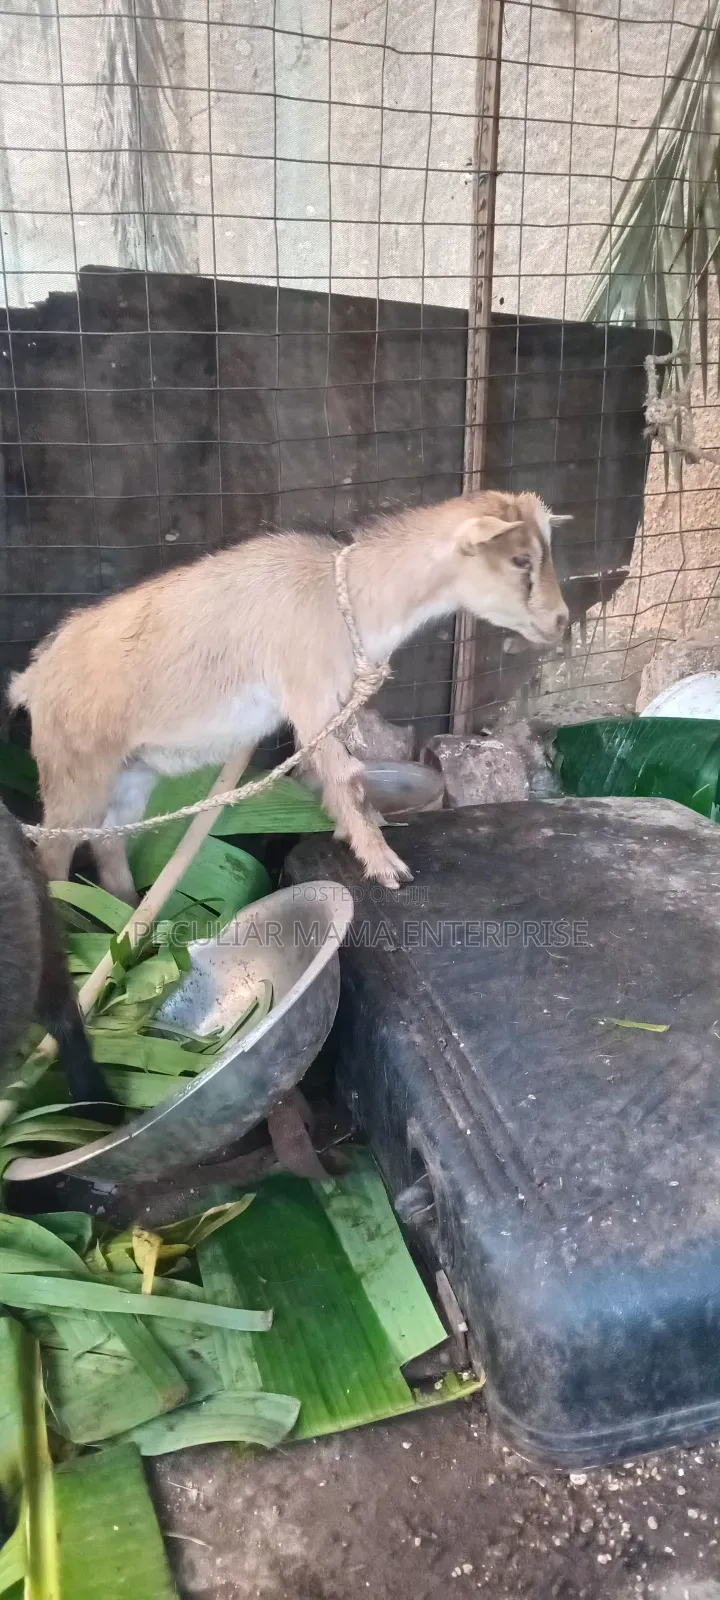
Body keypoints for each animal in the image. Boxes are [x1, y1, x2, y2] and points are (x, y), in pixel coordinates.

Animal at [9, 489, 569, 897]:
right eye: (521, 560)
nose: (561, 621)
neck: (346, 597)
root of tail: (33, 677)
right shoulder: (310, 697)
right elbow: (347, 776)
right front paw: (383, 863)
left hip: (134, 771)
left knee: (109, 841)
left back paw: (124, 915)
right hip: (74, 771)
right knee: (56, 849)